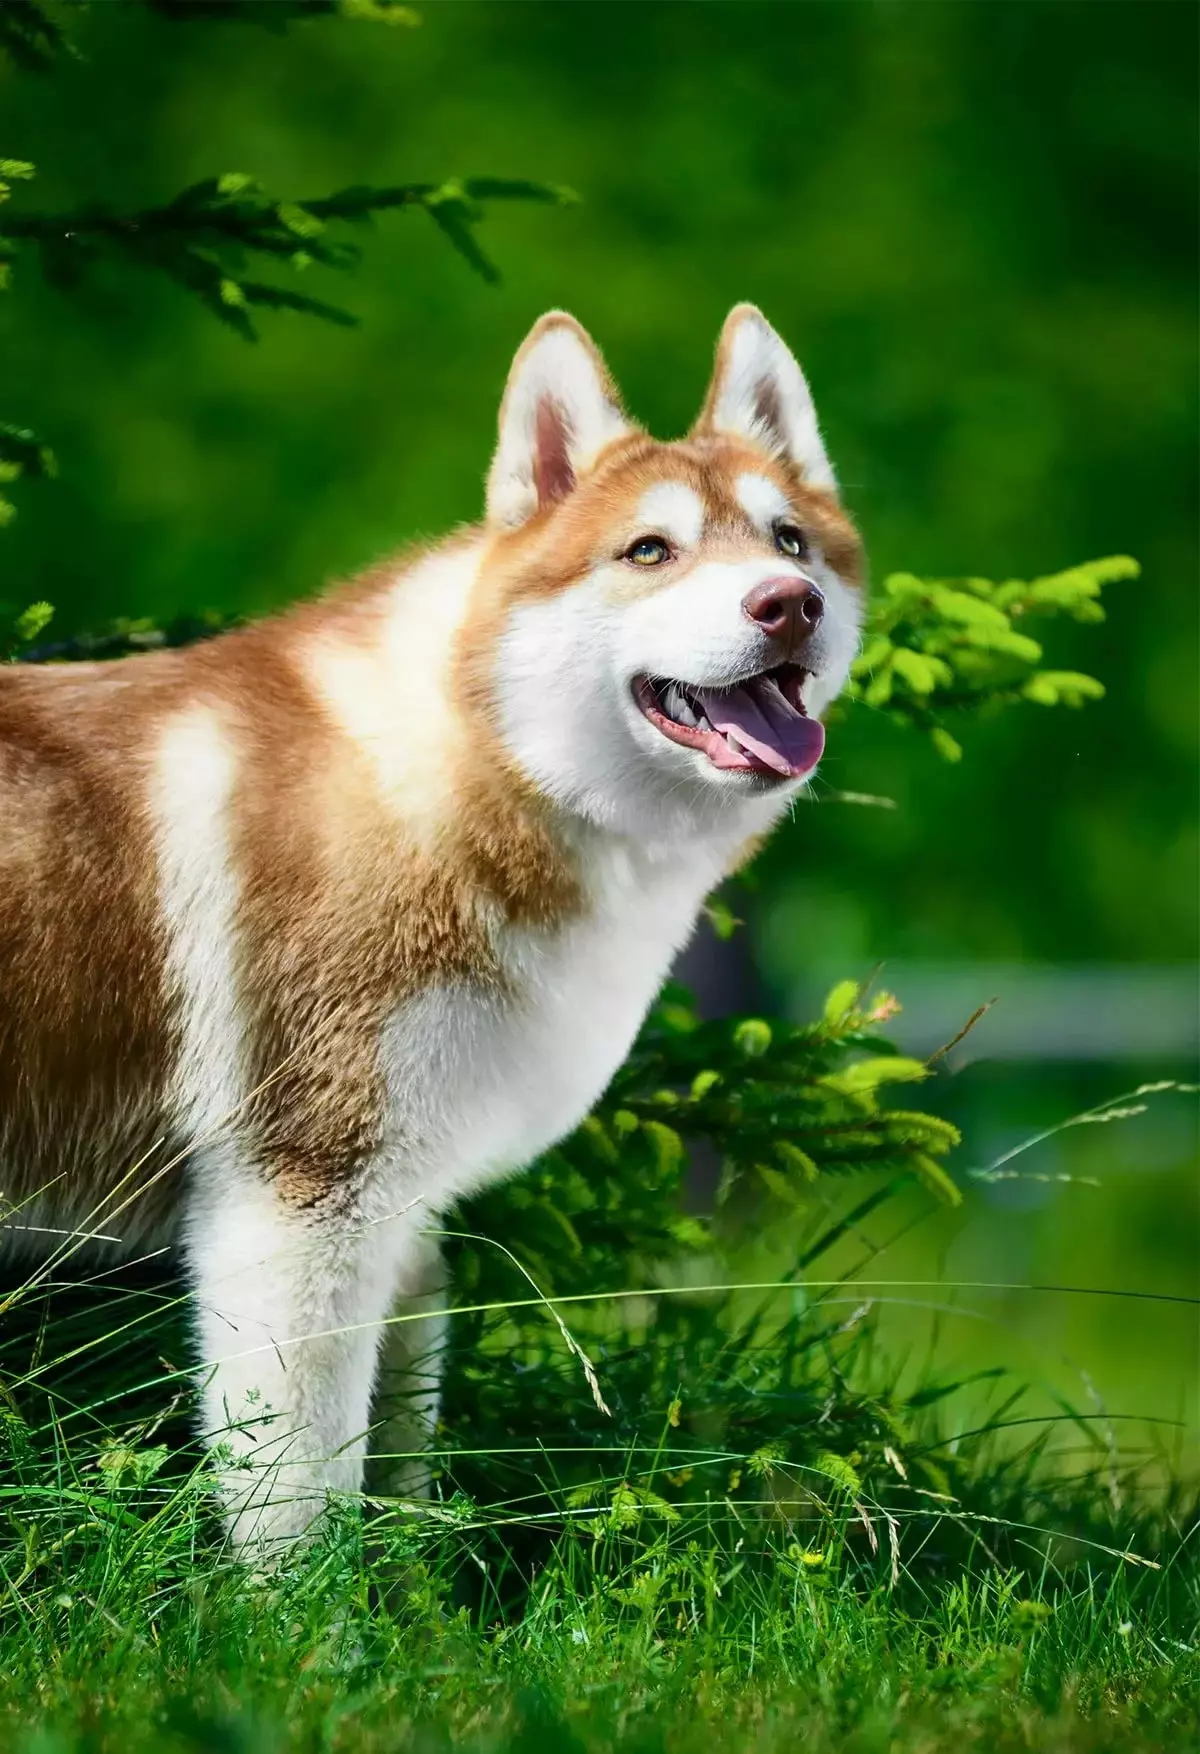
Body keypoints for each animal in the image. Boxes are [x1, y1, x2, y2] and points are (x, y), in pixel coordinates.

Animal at [0, 305, 863, 1550]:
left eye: (791, 540)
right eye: (650, 551)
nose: (785, 602)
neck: (472, 771)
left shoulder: (404, 1221)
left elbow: (397, 1477)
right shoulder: (294, 1209)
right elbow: (302, 1514)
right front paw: (306, 1610)